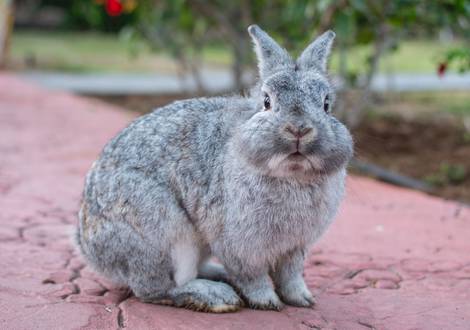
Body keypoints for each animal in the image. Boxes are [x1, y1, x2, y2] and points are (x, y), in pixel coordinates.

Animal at [77, 25, 352, 312]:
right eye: (266, 101)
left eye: (326, 104)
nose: (299, 129)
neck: (292, 174)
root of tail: (89, 249)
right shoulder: (238, 246)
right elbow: (253, 277)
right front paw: (267, 302)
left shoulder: (295, 248)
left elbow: (290, 276)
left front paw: (303, 299)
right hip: (164, 234)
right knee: (156, 289)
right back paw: (217, 296)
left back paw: (219, 278)